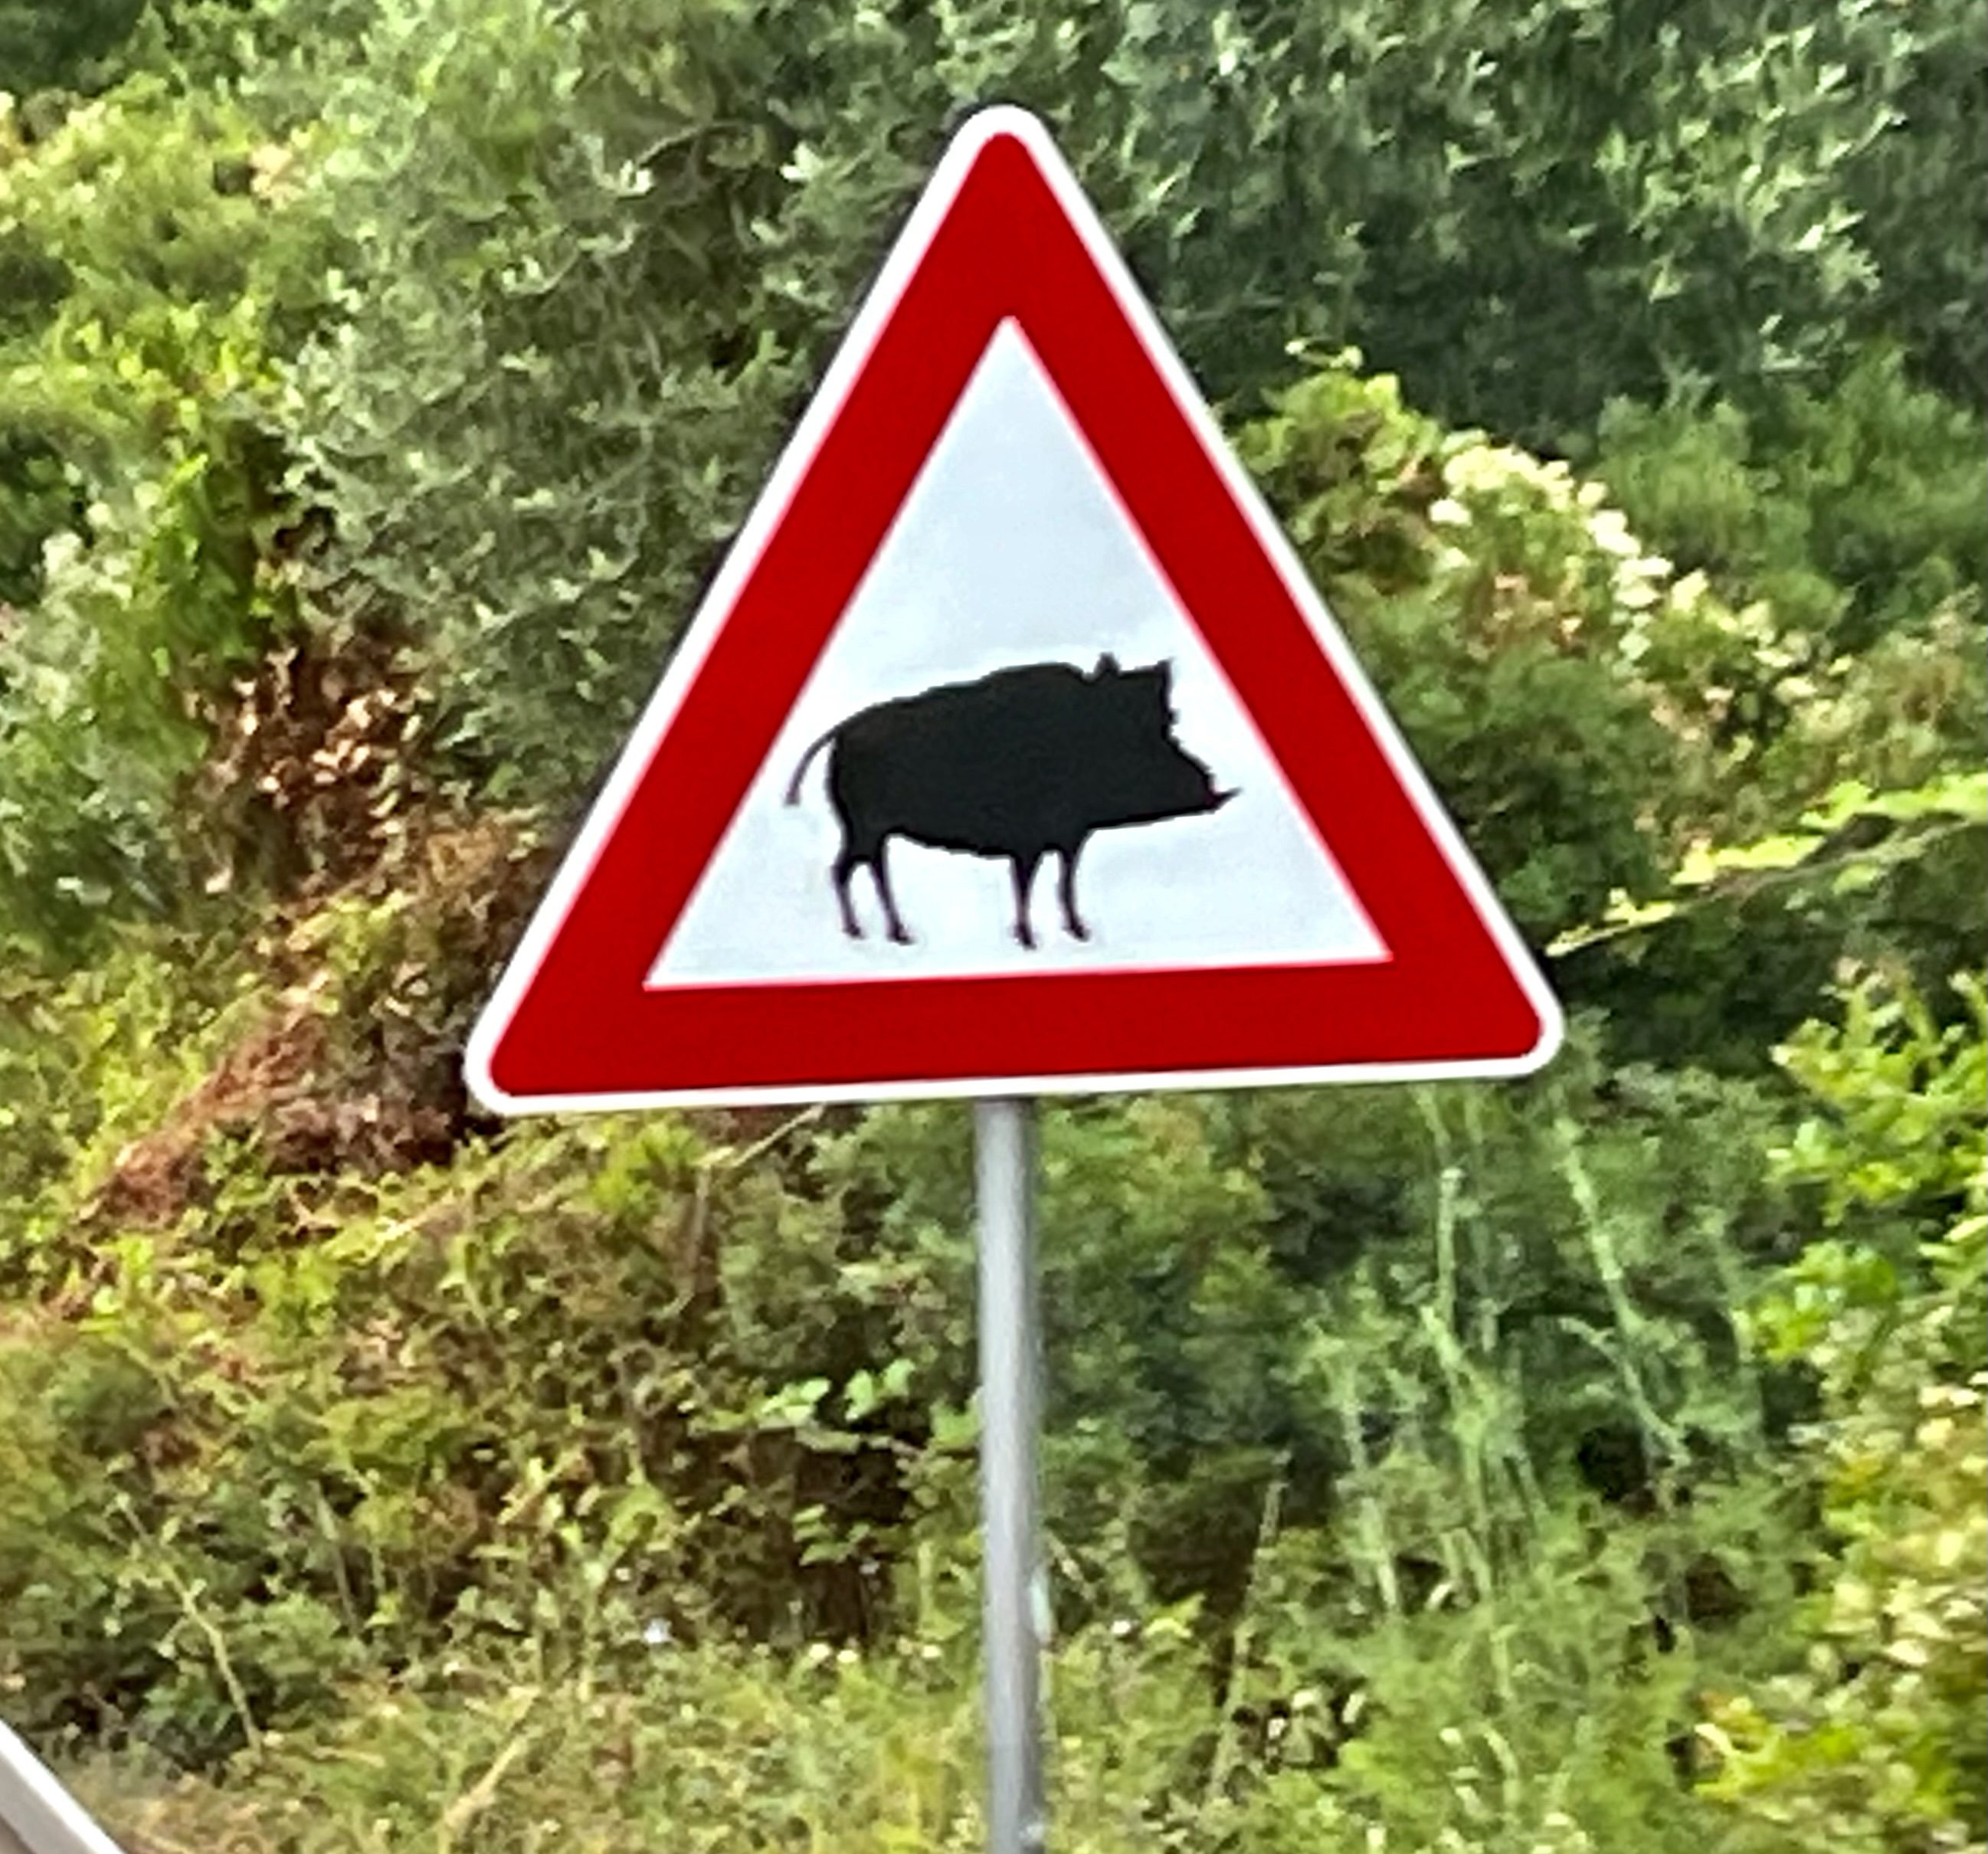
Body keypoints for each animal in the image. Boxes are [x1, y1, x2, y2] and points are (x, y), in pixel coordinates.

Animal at [784, 654, 1236, 949]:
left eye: (1170, 721)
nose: (1217, 789)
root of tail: (841, 732)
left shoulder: (1070, 837)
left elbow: (1063, 881)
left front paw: (1079, 933)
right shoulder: (1028, 841)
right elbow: (1027, 883)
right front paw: (1031, 941)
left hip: (866, 830)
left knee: (856, 868)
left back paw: (886, 934)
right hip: (865, 826)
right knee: (849, 869)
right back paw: (882, 934)